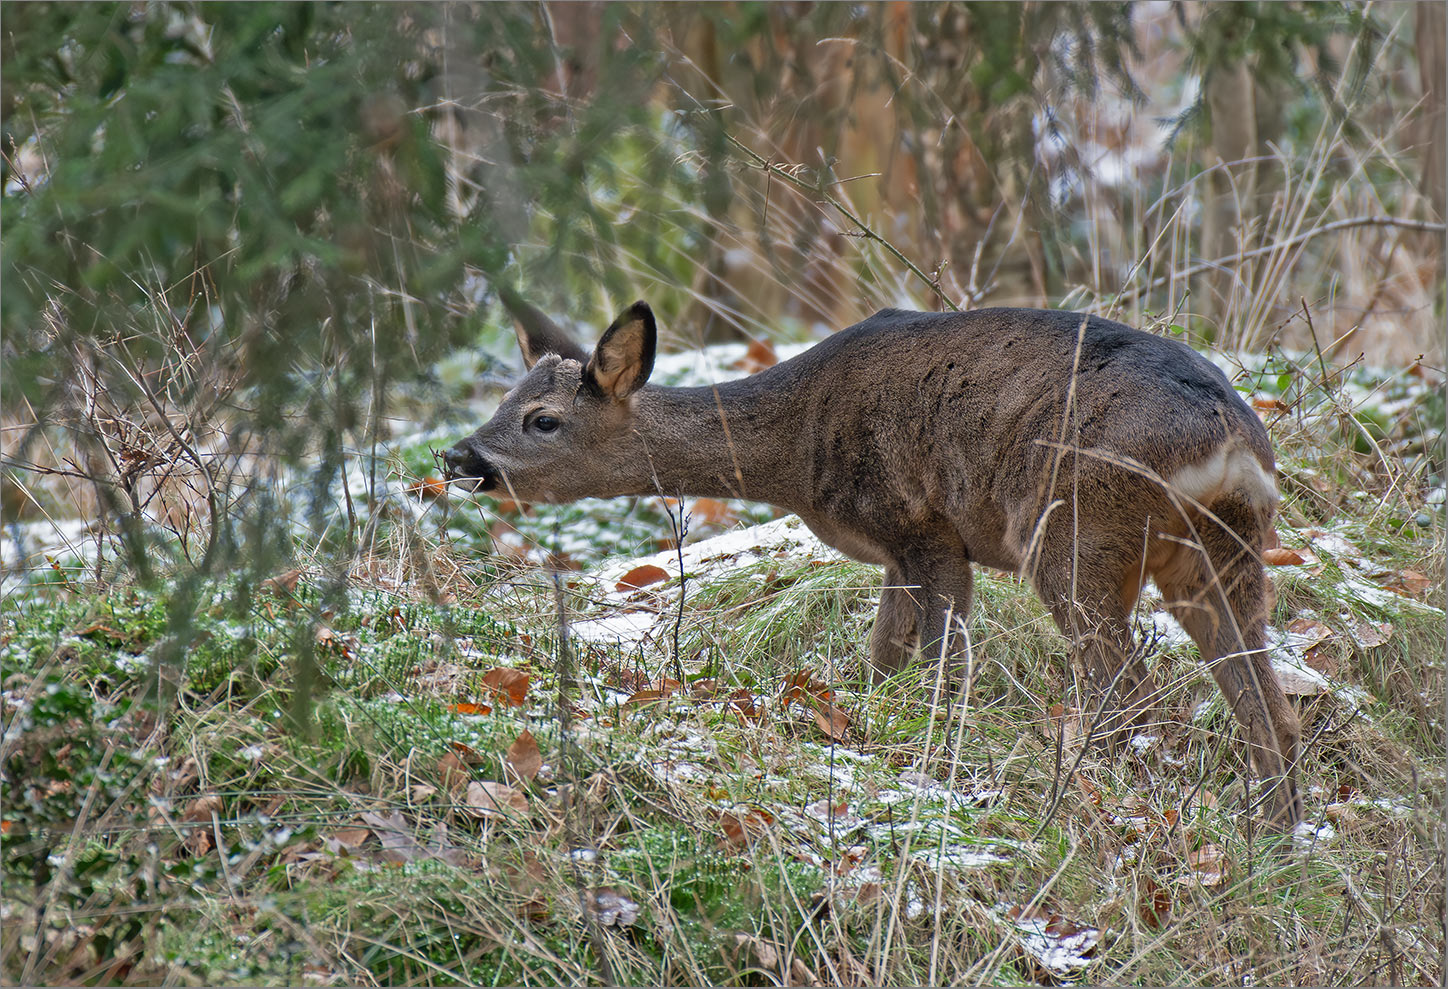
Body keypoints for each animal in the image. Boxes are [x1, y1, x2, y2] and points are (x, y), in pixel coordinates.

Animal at [440, 298, 1303, 834]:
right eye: (505, 398)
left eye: (542, 419)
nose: (458, 456)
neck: (795, 445)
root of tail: (1228, 437)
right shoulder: (895, 551)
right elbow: (883, 657)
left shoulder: (925, 527)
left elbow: (940, 664)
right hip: (1220, 553)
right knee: (1265, 703)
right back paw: (1277, 832)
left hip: (1071, 531)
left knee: (1131, 689)